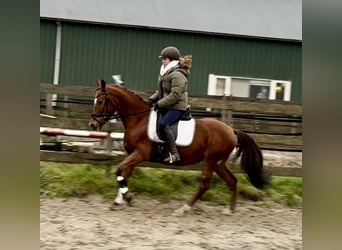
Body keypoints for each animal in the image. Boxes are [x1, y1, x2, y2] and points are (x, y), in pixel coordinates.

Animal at [89, 79, 272, 215]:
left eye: (101, 101)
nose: (92, 124)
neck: (139, 120)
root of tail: (231, 130)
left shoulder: (140, 154)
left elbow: (119, 170)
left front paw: (127, 197)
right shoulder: (132, 155)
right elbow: (124, 174)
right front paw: (118, 201)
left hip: (211, 160)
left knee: (204, 184)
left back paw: (184, 208)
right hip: (218, 163)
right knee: (232, 181)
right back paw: (230, 209)